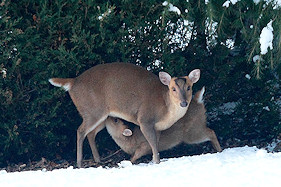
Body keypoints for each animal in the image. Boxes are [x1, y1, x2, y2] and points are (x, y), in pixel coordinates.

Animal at [49, 62, 200, 167]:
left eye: (189, 87)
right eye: (173, 89)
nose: (183, 103)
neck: (165, 108)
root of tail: (73, 82)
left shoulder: (158, 128)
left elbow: (155, 143)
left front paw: (153, 160)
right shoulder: (145, 119)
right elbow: (152, 142)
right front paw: (157, 162)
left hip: (100, 115)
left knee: (90, 133)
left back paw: (98, 160)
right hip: (92, 110)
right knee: (80, 131)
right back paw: (80, 163)